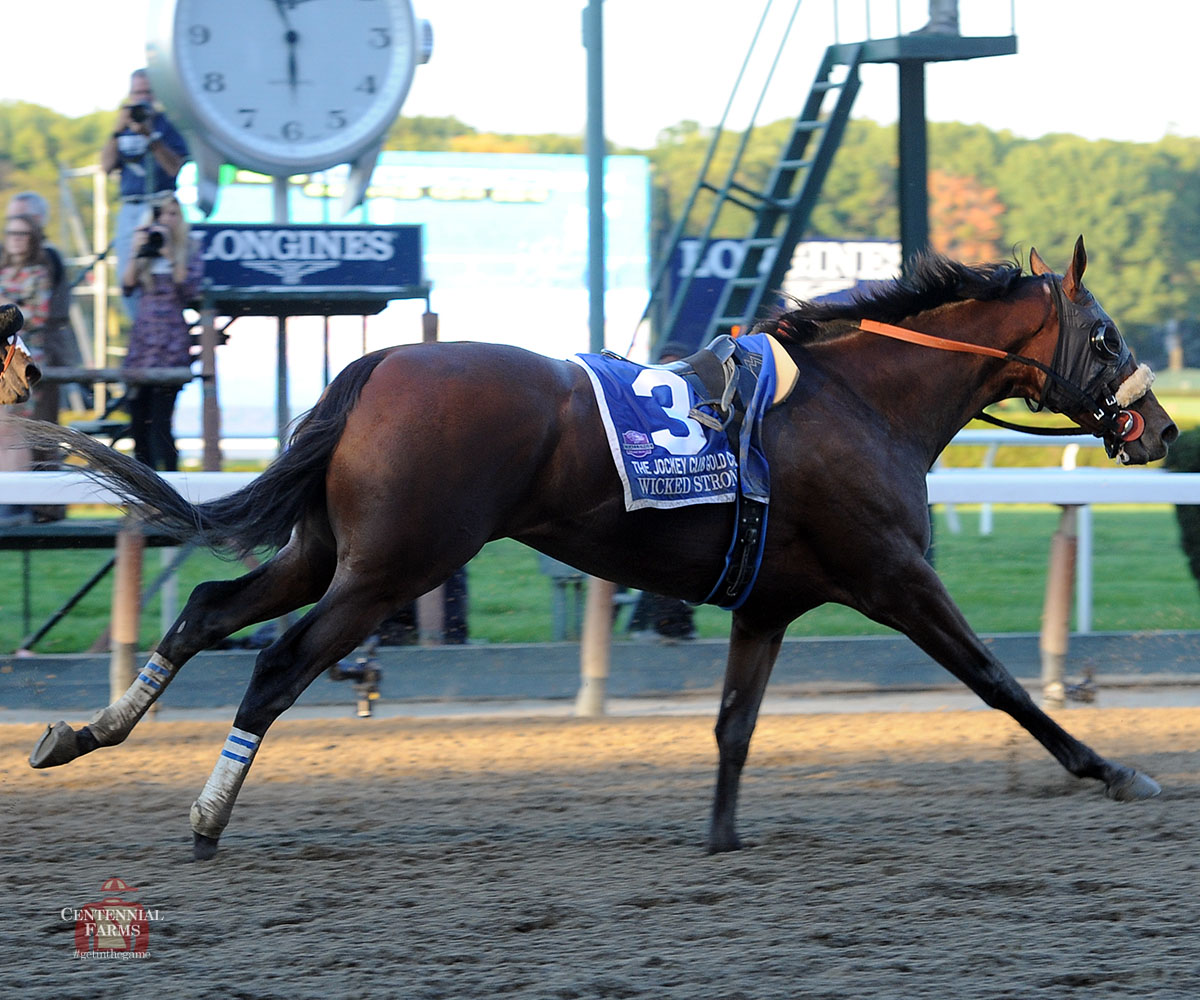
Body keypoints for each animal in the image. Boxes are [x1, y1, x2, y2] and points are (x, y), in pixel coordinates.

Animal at [25, 236, 1177, 861]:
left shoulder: (768, 604)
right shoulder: (893, 576)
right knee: (274, 664)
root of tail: (382, 360)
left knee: (206, 611)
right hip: (393, 567)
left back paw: (81, 734)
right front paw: (1115, 770)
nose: (1161, 429)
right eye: (1108, 334)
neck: (861, 399)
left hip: (332, 552)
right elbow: (1000, 682)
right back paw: (205, 818)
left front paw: (721, 837)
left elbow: (733, 726)